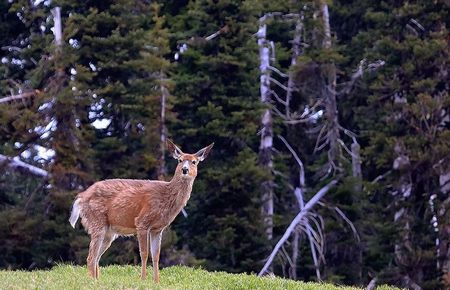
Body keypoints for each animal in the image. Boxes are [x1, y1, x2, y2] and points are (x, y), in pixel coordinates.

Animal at [67, 139, 214, 282]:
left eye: (194, 162)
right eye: (180, 160)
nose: (184, 169)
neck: (166, 197)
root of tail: (81, 198)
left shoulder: (157, 229)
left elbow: (156, 255)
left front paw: (156, 281)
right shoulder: (142, 222)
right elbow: (144, 253)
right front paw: (143, 279)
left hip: (109, 232)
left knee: (96, 256)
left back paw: (98, 280)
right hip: (97, 221)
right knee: (91, 257)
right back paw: (93, 281)